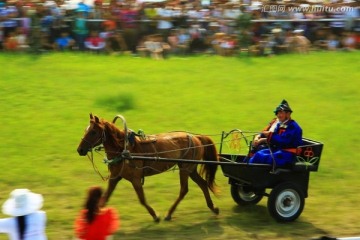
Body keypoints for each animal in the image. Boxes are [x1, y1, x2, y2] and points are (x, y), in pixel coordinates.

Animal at [76, 113, 219, 222]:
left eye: (93, 131)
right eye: (85, 130)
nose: (80, 150)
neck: (123, 149)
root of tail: (196, 137)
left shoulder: (135, 179)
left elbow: (142, 199)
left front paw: (155, 216)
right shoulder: (114, 178)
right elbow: (105, 198)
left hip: (185, 168)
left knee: (184, 190)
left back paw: (169, 213)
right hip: (190, 169)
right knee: (203, 183)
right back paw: (213, 207)